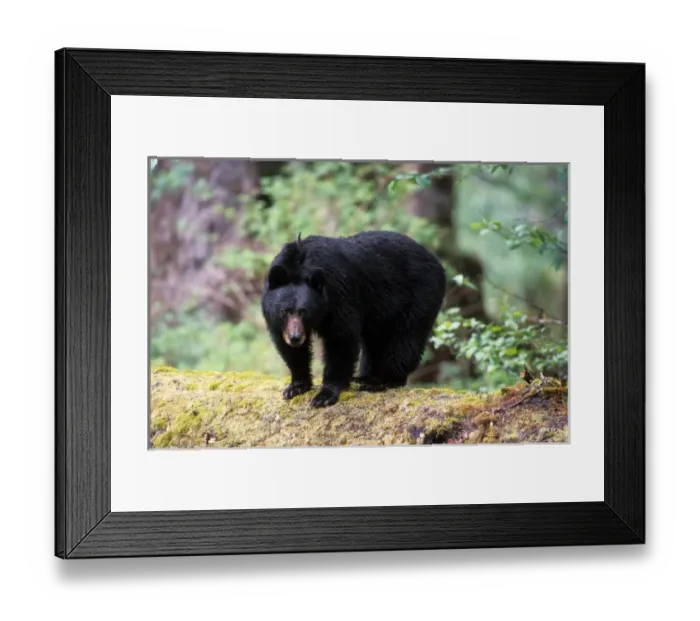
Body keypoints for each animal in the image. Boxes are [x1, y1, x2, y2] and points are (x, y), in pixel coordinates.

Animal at [261, 230, 447, 408]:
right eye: (285, 311)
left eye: (304, 312)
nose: (295, 338)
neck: (299, 263)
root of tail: (436, 261)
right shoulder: (278, 320)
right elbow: (289, 349)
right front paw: (296, 386)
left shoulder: (339, 293)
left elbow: (341, 337)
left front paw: (325, 395)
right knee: (376, 340)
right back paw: (365, 377)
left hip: (419, 295)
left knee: (405, 339)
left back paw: (381, 381)